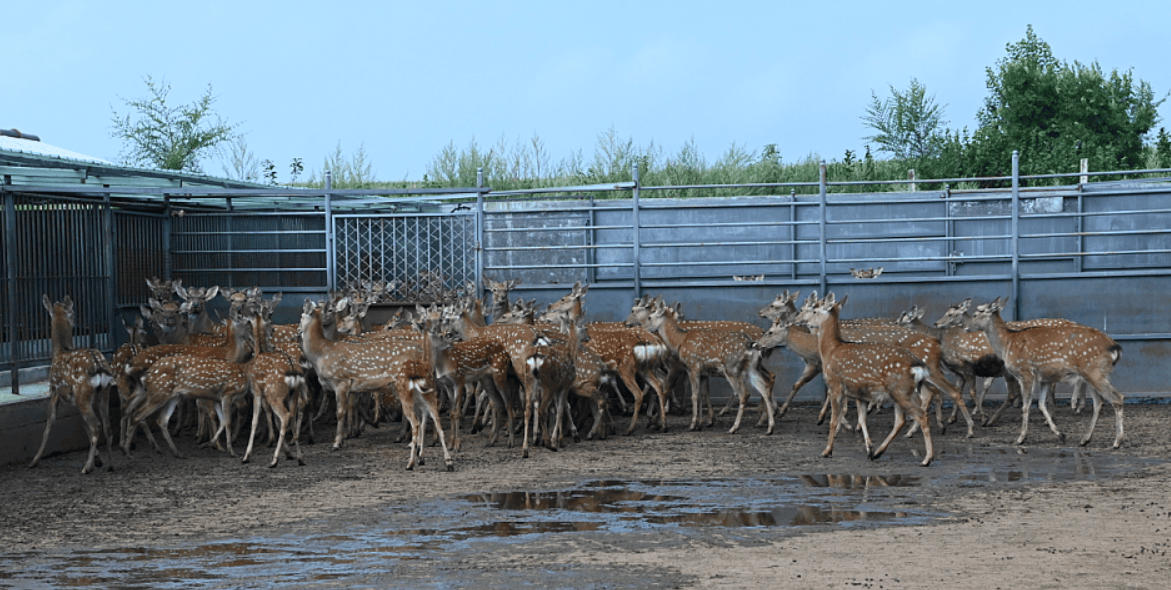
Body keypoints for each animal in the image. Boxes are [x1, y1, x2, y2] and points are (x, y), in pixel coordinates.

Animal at [30, 295, 117, 475]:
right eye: (72, 313)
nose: (76, 323)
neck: (60, 350)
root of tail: (99, 367)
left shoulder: (54, 390)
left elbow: (49, 424)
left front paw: (34, 460)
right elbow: (83, 426)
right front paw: (98, 459)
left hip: (82, 392)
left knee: (96, 424)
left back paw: (87, 467)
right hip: (102, 393)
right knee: (106, 426)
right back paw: (110, 464)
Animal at [960, 297, 1124, 449]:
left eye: (975, 314)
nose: (965, 328)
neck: (1007, 344)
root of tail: (1115, 347)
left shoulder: (1026, 372)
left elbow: (1026, 406)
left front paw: (1021, 438)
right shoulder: (1045, 378)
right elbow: (1040, 404)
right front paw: (1060, 435)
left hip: (1094, 371)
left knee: (1117, 398)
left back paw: (1117, 442)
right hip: (1093, 375)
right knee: (1099, 402)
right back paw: (1085, 439)